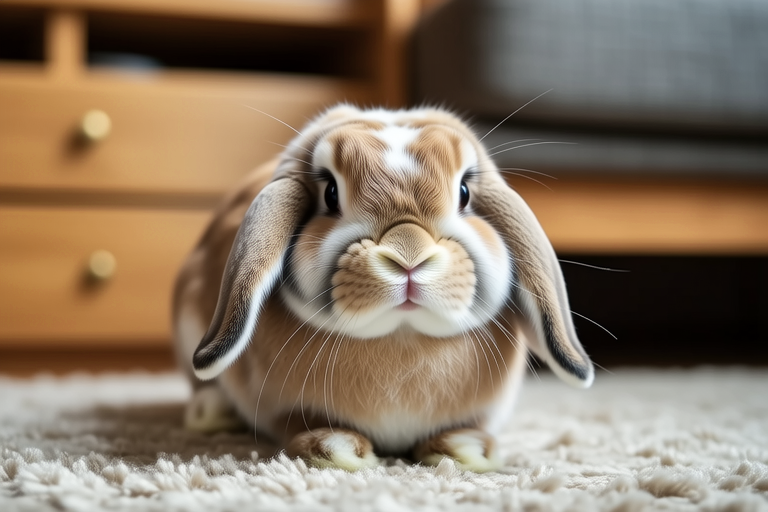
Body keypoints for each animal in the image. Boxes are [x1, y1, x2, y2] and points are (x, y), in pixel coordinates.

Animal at [172, 104, 593, 473]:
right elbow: (300, 425)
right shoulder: (283, 411)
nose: (409, 256)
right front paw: (335, 448)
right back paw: (211, 412)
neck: (401, 337)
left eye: (464, 193)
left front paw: (466, 449)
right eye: (330, 193)